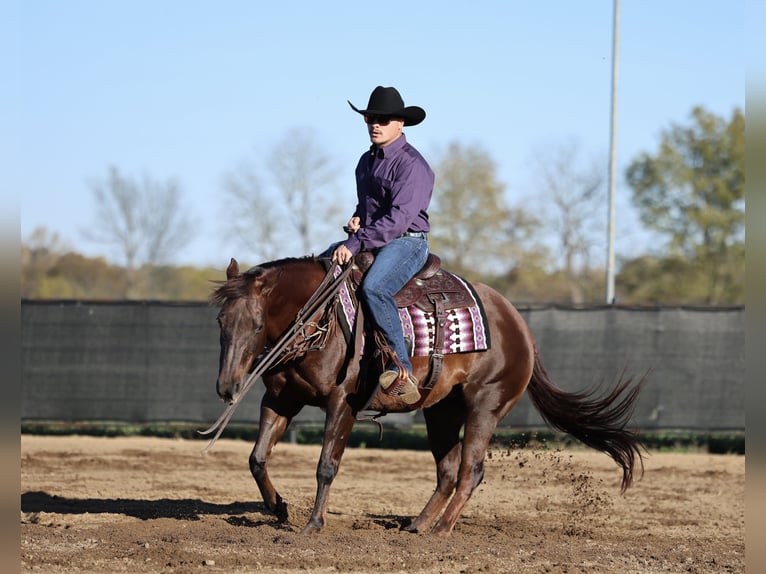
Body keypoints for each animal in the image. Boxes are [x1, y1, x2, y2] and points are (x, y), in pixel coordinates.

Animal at [210, 256, 645, 536]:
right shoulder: (281, 400)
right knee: (448, 471)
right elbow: (257, 458)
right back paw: (418, 524)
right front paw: (279, 507)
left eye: (256, 323)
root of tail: (520, 325)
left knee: (471, 470)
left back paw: (441, 529)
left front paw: (313, 524)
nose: (227, 388)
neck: (323, 317)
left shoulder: (342, 404)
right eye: (220, 321)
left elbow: (326, 466)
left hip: (484, 406)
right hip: (441, 412)